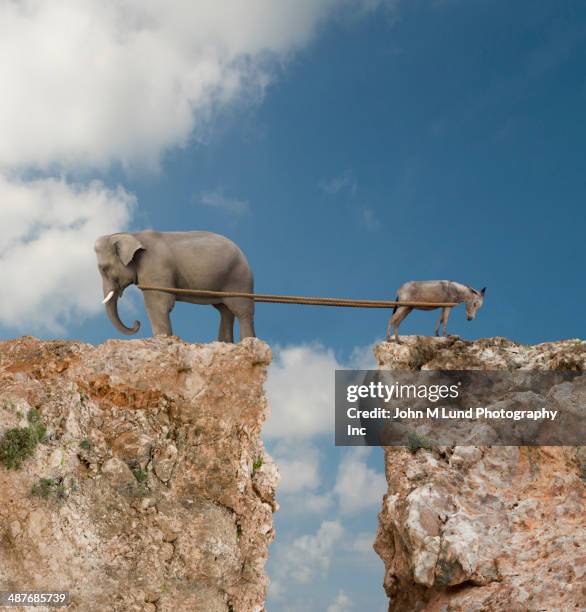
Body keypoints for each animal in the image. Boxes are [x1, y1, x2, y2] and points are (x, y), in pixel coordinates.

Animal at [93, 231, 253, 342]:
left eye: (104, 268)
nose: (136, 322)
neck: (133, 235)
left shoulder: (155, 267)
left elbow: (158, 304)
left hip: (239, 278)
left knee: (242, 311)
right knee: (225, 311)